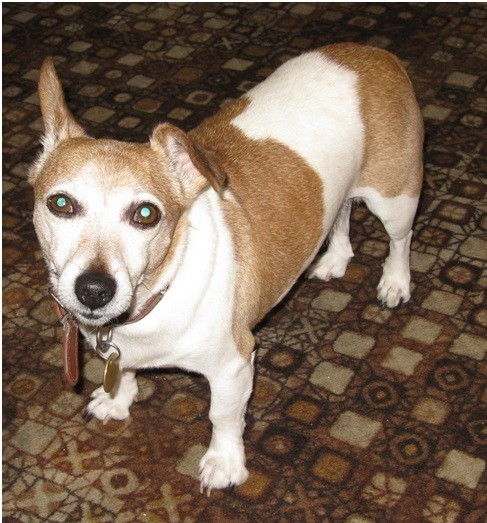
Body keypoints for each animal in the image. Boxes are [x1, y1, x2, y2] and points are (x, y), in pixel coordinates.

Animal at [29, 43, 423, 494]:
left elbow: (223, 417)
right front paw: (116, 400)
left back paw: (395, 282)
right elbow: (122, 370)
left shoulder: (233, 366)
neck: (160, 293)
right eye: (61, 203)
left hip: (394, 198)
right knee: (341, 213)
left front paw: (224, 463)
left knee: (401, 239)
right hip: (342, 193)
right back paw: (336, 258)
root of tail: (375, 53)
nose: (94, 289)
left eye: (146, 213)